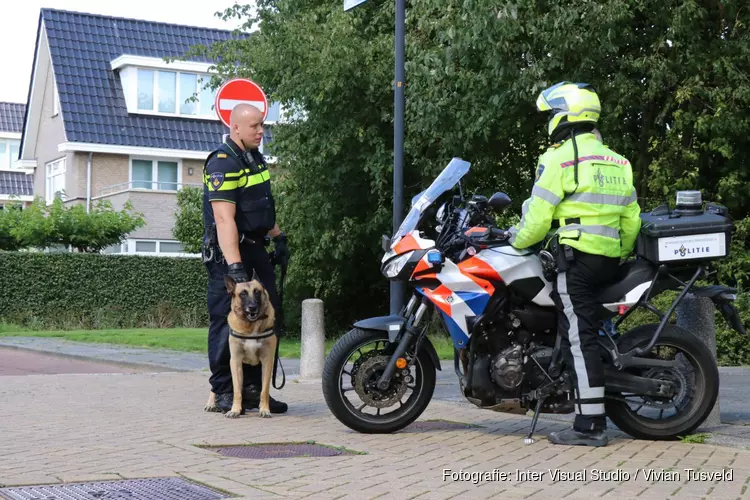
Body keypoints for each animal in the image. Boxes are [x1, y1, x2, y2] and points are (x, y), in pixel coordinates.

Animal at [204, 270, 278, 418]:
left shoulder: (267, 361)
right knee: (216, 381)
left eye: (257, 292)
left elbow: (264, 390)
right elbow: (237, 391)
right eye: (242, 294)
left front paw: (264, 409)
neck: (251, 327)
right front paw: (235, 410)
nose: (252, 307)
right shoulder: (236, 361)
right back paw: (212, 403)